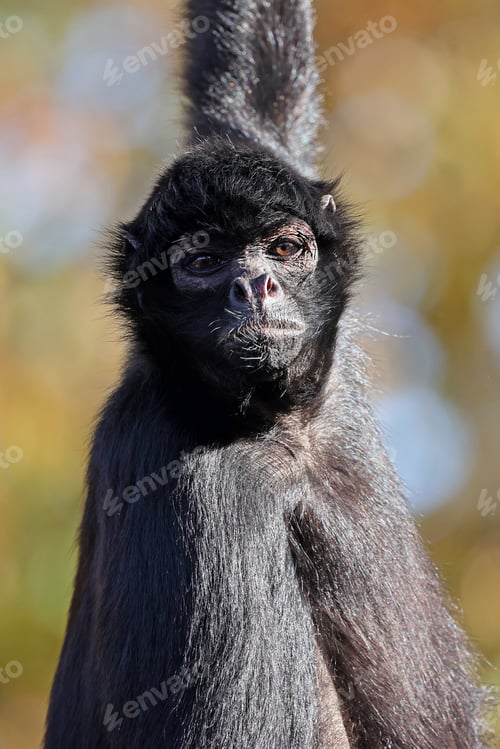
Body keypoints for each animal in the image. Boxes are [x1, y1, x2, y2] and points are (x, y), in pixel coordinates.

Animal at [44, 0, 488, 747]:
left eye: (284, 247)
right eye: (203, 261)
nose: (255, 284)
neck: (283, 431)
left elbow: (251, 92)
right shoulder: (193, 485)